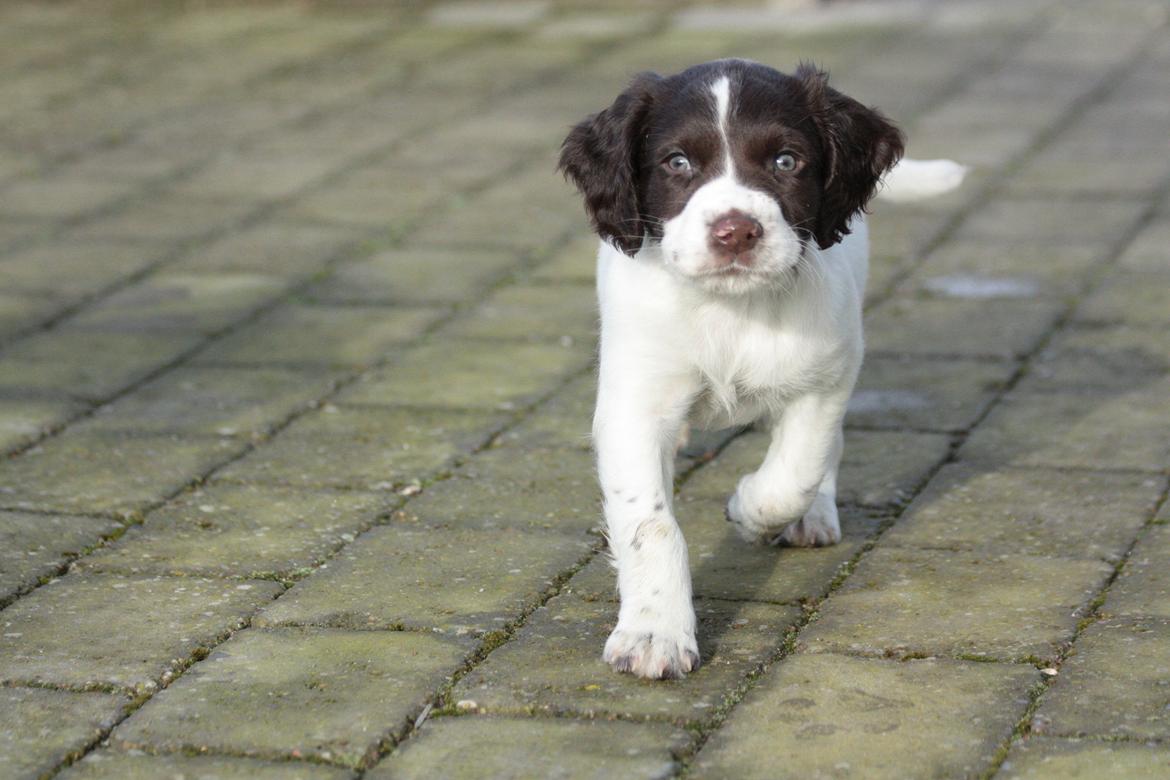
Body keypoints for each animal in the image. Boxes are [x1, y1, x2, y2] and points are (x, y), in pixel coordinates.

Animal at [561, 61, 964, 678]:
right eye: (677, 163)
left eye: (785, 161)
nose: (735, 232)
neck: (732, 309)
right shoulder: (635, 406)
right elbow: (650, 524)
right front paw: (654, 633)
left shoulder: (824, 379)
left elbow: (794, 474)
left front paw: (751, 510)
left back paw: (809, 517)